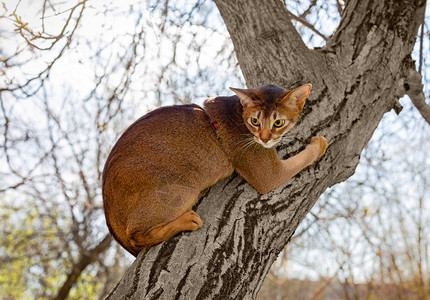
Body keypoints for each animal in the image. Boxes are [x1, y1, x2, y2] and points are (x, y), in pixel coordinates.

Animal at [102, 83, 328, 256]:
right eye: (255, 121)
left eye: (278, 122)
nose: (264, 138)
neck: (238, 112)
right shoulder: (269, 176)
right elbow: (302, 158)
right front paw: (319, 144)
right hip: (182, 187)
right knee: (137, 236)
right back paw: (187, 220)